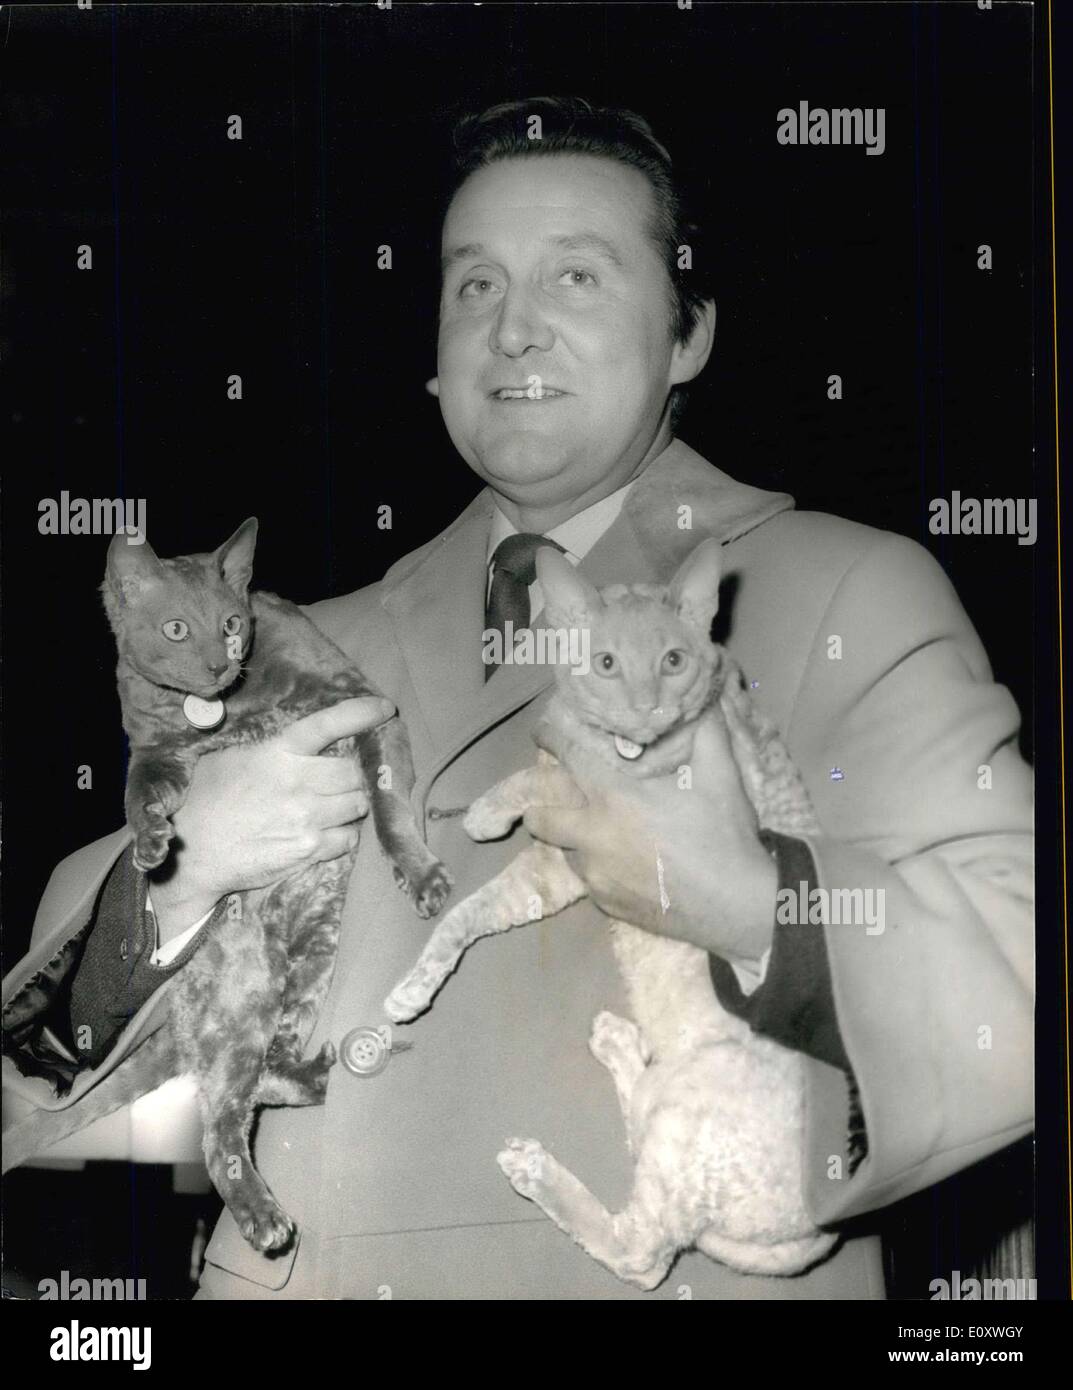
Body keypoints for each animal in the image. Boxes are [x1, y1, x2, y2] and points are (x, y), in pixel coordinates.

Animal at [386, 536, 839, 1284]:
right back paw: (620, 1048)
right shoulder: (561, 868)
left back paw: (537, 1171)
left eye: (673, 661)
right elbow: (466, 914)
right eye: (605, 664)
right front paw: (414, 984)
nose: (646, 709)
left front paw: (486, 809)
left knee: (642, 1255)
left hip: (696, 1127)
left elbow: (538, 781)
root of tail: (809, 1240)